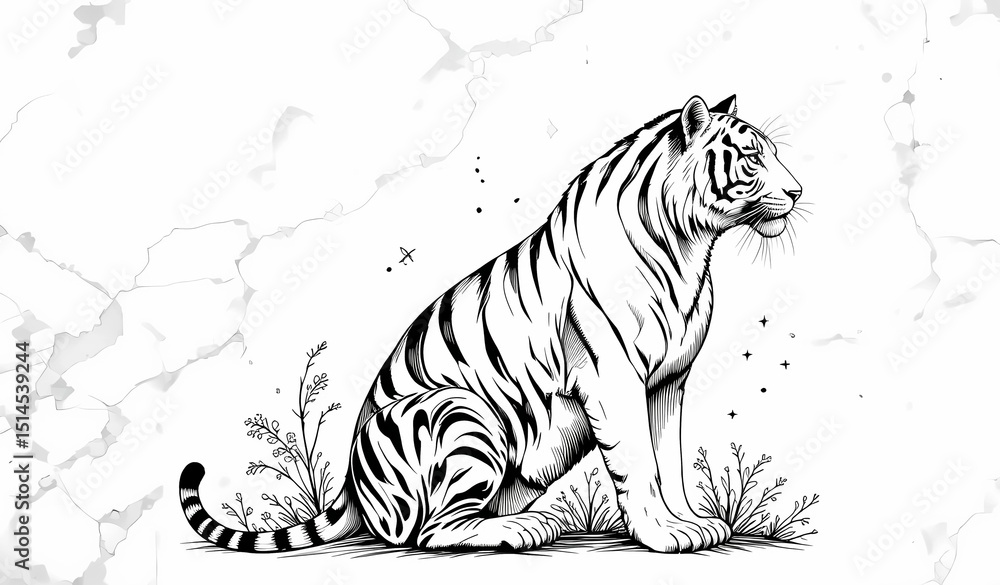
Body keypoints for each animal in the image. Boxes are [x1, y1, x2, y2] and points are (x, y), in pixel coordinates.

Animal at [179, 94, 803, 554]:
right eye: (752, 158)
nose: (798, 190)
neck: (689, 246)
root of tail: (352, 487)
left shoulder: (669, 380)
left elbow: (668, 457)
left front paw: (692, 523)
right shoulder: (613, 376)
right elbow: (638, 463)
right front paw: (663, 533)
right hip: (460, 412)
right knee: (431, 533)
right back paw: (523, 530)